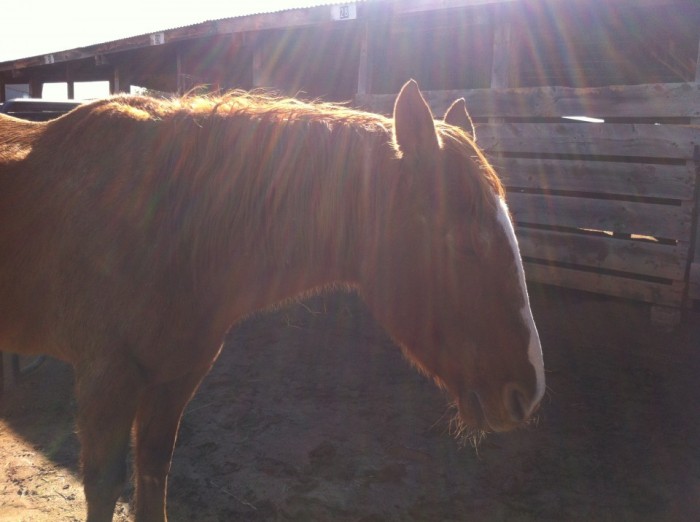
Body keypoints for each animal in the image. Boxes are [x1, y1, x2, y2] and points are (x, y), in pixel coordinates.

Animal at [0, 79, 548, 516]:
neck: (168, 223)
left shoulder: (174, 380)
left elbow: (153, 479)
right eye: (467, 242)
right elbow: (104, 488)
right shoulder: (106, 382)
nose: (528, 392)